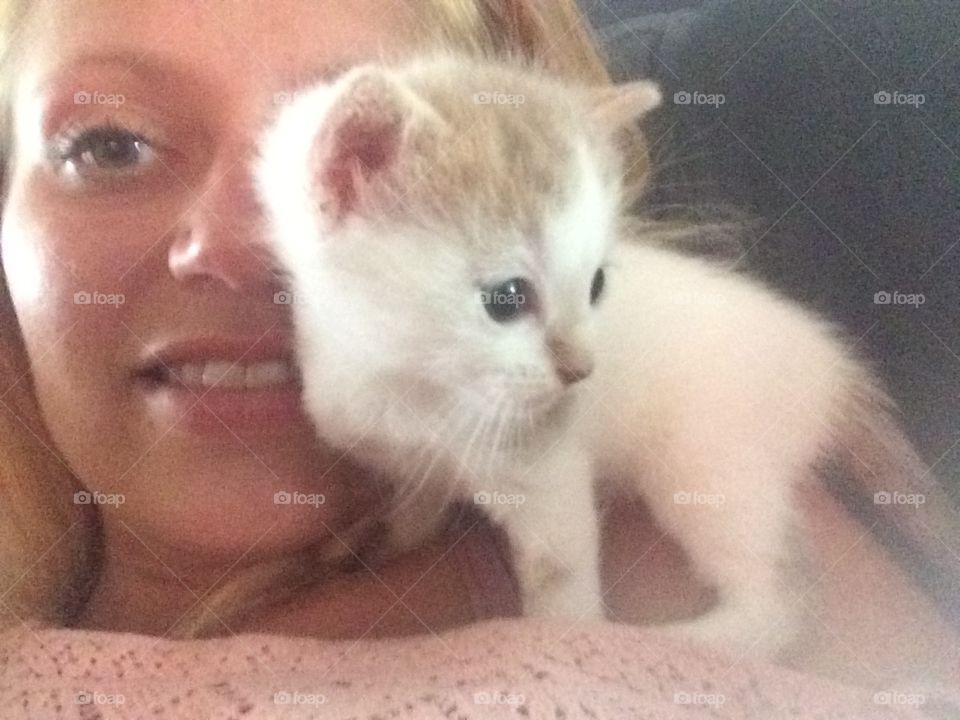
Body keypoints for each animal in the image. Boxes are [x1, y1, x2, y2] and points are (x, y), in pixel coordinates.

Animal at [253, 53, 952, 656]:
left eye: (594, 285)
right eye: (507, 299)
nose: (582, 372)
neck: (414, 381)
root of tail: (833, 367)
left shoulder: (546, 473)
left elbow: (560, 586)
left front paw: (570, 641)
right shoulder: (402, 455)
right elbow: (414, 507)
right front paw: (374, 544)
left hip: (707, 464)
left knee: (783, 597)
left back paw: (685, 645)